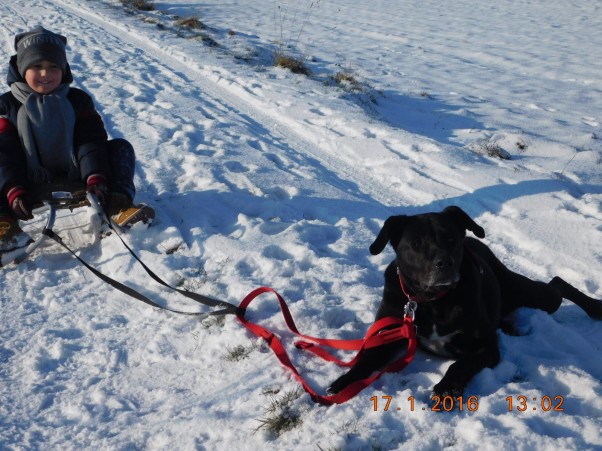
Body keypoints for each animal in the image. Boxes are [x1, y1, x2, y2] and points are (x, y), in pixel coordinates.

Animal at [328, 207, 600, 398]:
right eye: (415, 244)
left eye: (450, 239)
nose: (444, 263)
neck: (431, 301)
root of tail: (475, 241)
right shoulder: (388, 333)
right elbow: (365, 360)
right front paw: (343, 383)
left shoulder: (485, 348)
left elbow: (459, 365)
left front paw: (446, 389)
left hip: (528, 294)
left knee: (557, 284)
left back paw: (595, 307)